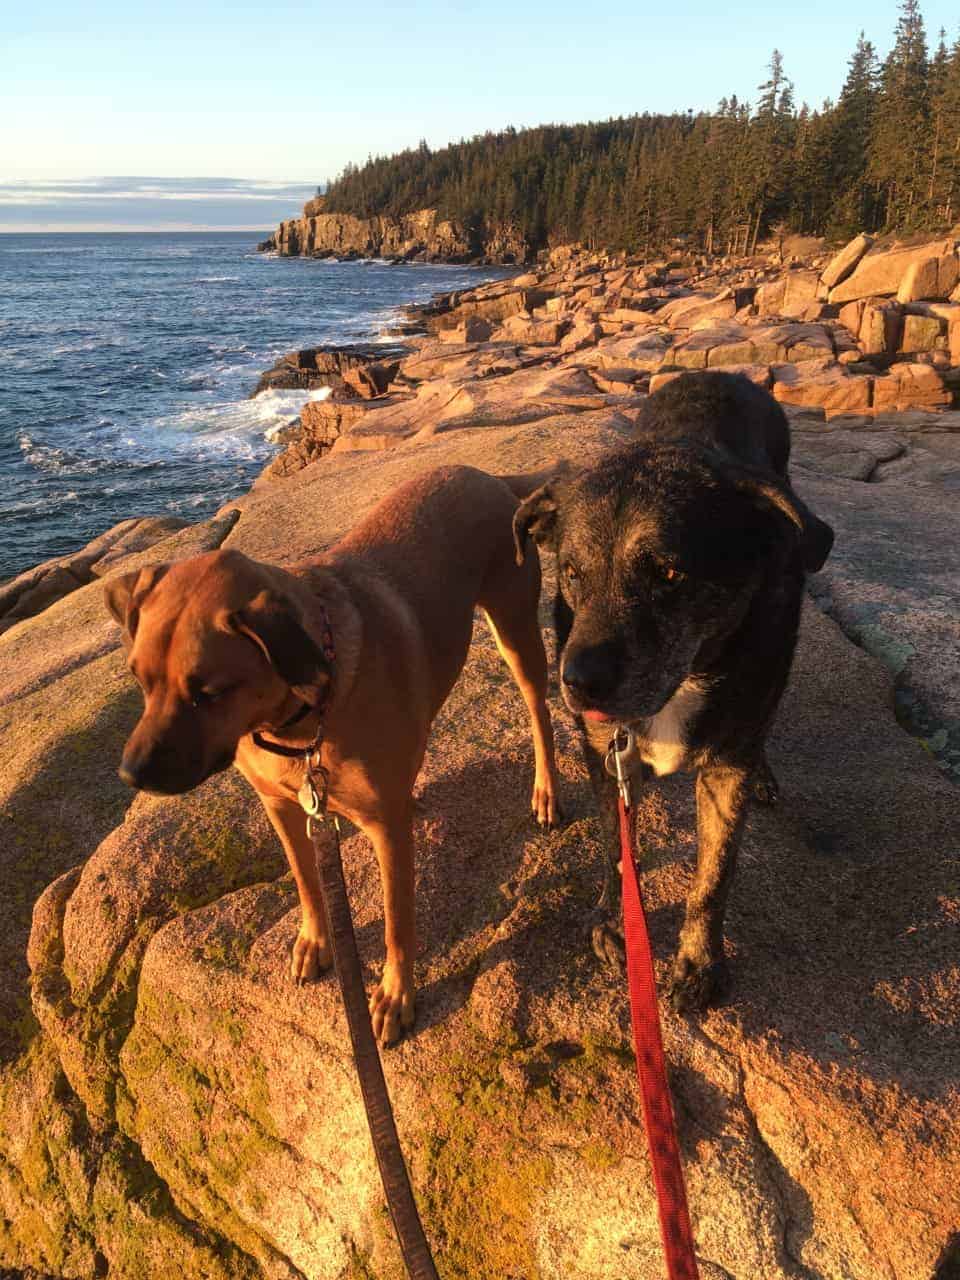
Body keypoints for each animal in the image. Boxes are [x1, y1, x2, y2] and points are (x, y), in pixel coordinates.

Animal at [104, 465, 560, 1044]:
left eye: (208, 693)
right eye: (138, 679)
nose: (130, 774)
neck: (297, 723)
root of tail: (486, 475)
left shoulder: (386, 833)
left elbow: (398, 923)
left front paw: (395, 996)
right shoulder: (282, 807)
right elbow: (306, 880)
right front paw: (316, 941)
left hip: (517, 631)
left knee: (540, 713)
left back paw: (546, 790)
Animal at [514, 371, 839, 1008]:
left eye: (669, 573)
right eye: (571, 572)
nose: (578, 683)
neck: (686, 677)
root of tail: (720, 373)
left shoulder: (724, 772)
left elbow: (714, 874)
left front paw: (700, 962)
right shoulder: (607, 759)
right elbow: (617, 851)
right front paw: (613, 920)